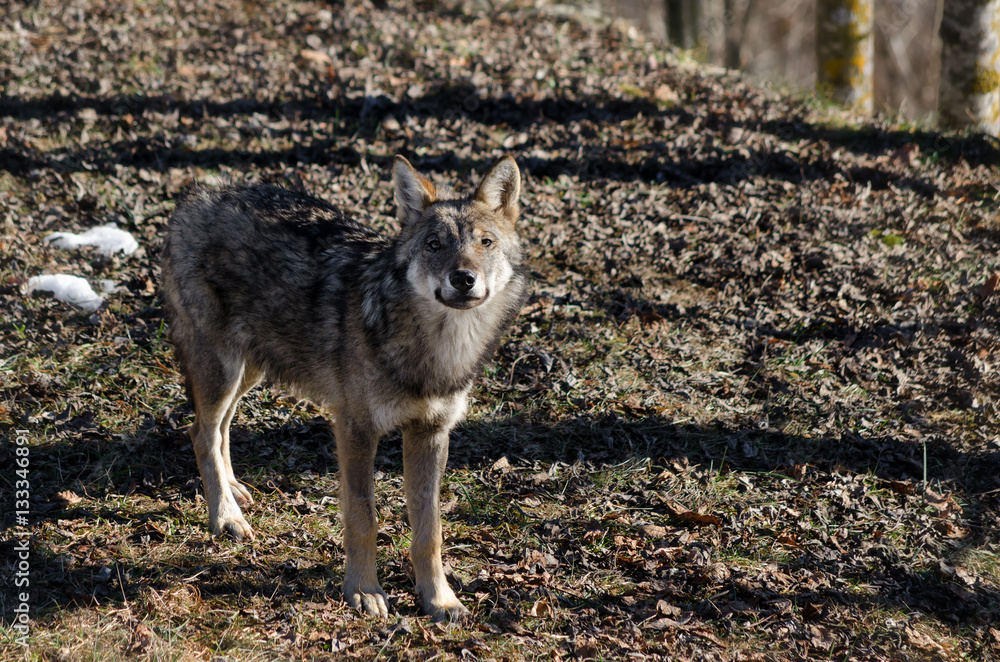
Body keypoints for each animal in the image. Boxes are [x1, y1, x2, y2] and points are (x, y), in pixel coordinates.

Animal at [160, 155, 528, 620]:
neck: (435, 350)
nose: (463, 278)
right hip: (223, 370)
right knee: (201, 432)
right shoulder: (355, 429)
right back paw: (225, 517)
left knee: (221, 427)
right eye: (434, 245)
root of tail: (197, 195)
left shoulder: (430, 433)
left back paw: (234, 489)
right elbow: (363, 517)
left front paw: (439, 599)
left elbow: (430, 531)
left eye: (486, 242)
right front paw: (364, 591)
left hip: (250, 370)